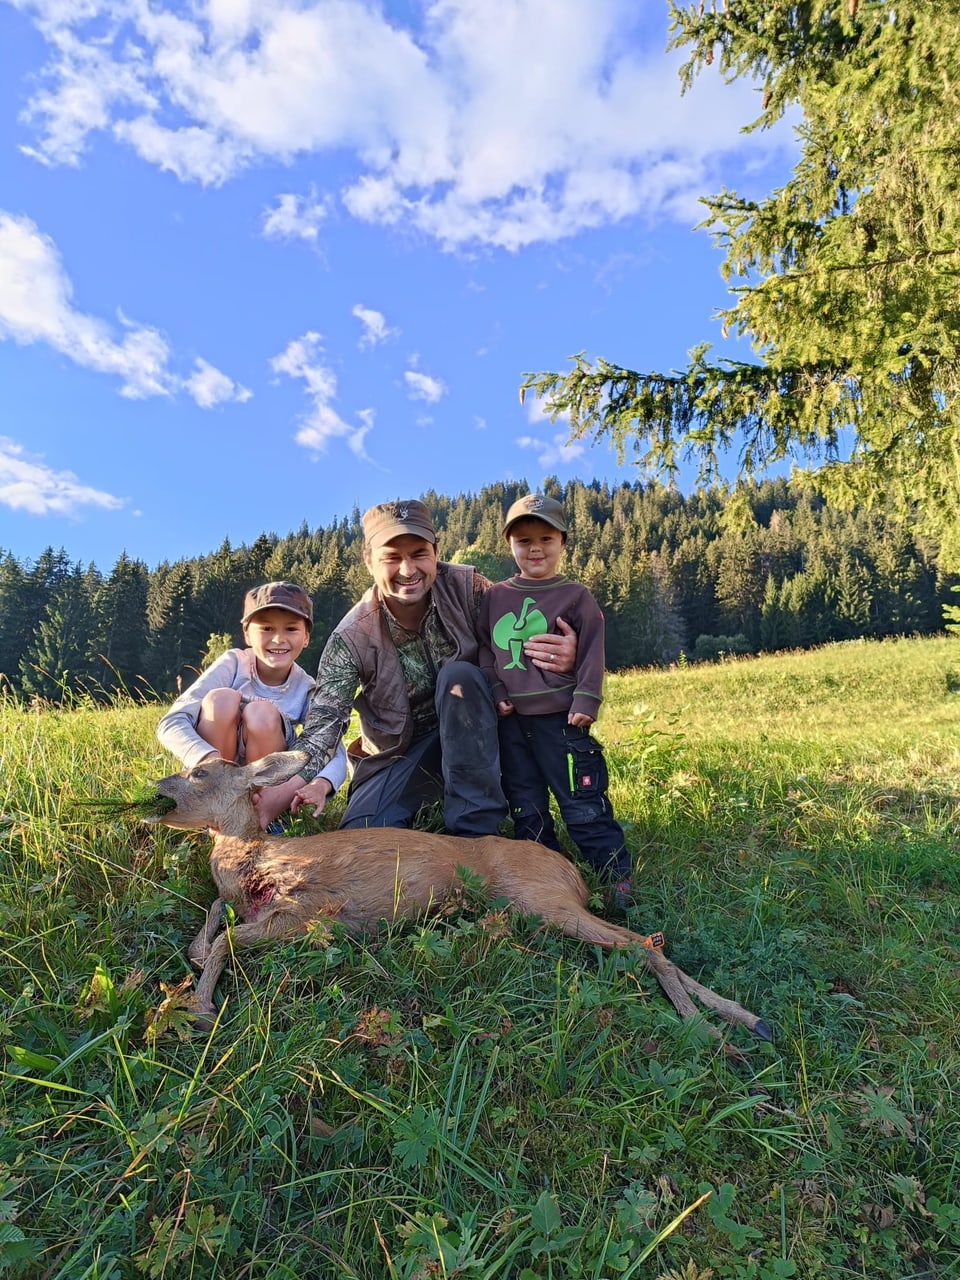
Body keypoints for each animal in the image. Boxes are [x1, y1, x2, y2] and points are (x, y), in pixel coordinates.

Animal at [144, 747, 773, 1039]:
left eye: (200, 773)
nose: (156, 785)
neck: (253, 859)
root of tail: (570, 871)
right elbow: (210, 924)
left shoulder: (308, 911)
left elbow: (223, 942)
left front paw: (200, 1009)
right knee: (648, 941)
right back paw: (745, 1018)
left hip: (540, 898)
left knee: (643, 942)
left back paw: (702, 1025)